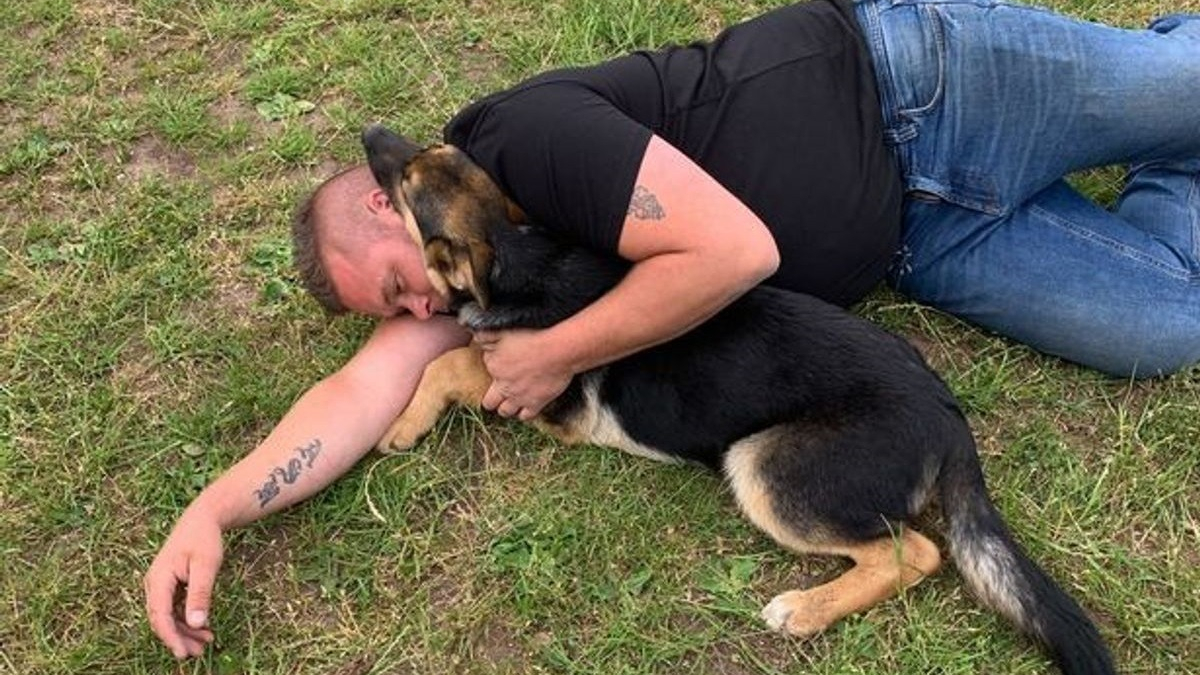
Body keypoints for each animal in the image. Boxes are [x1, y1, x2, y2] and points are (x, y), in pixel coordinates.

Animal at [355, 124, 1113, 672]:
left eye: (408, 181)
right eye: (427, 156)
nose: (370, 132)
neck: (521, 249)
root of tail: (949, 418)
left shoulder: (540, 391)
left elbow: (451, 361)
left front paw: (401, 424)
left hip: (761, 465)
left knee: (913, 553)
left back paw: (805, 610)